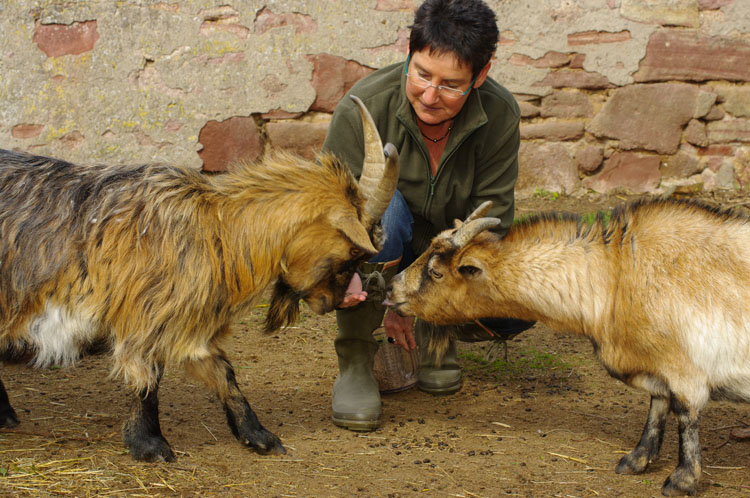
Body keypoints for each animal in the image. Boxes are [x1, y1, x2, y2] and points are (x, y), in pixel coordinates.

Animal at [0, 96, 400, 462]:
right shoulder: (147, 316)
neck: (217, 228)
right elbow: (147, 377)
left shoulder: (190, 323)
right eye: (354, 251)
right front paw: (150, 444)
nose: (339, 301)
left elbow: (223, 372)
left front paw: (258, 435)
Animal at [388, 199, 750, 498]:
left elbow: (685, 414)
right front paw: (636, 459)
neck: (617, 274)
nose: (391, 289)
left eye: (436, 272)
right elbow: (657, 404)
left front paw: (682, 480)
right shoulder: (653, 362)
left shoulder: (684, 366)